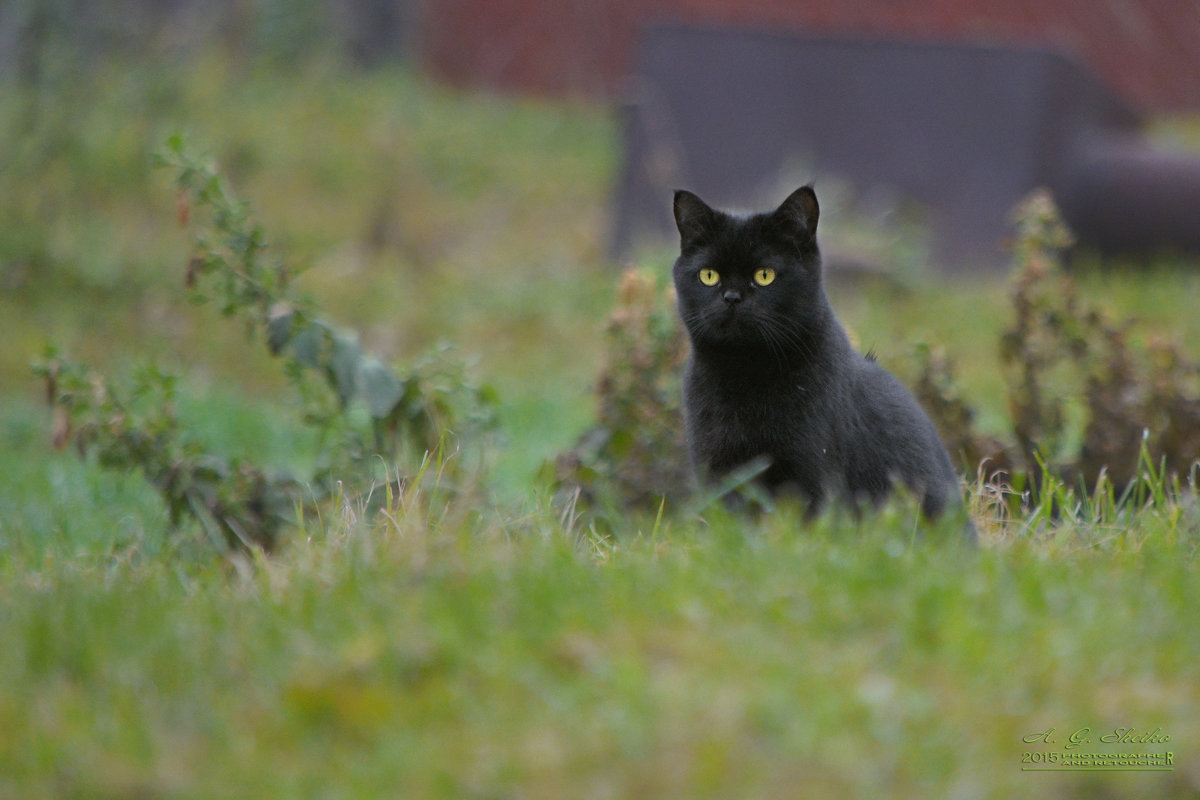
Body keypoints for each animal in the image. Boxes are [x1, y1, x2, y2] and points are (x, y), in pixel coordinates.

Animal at [676, 187, 964, 525]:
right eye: (708, 275)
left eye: (765, 275)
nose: (731, 297)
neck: (745, 372)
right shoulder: (717, 470)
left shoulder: (813, 471)